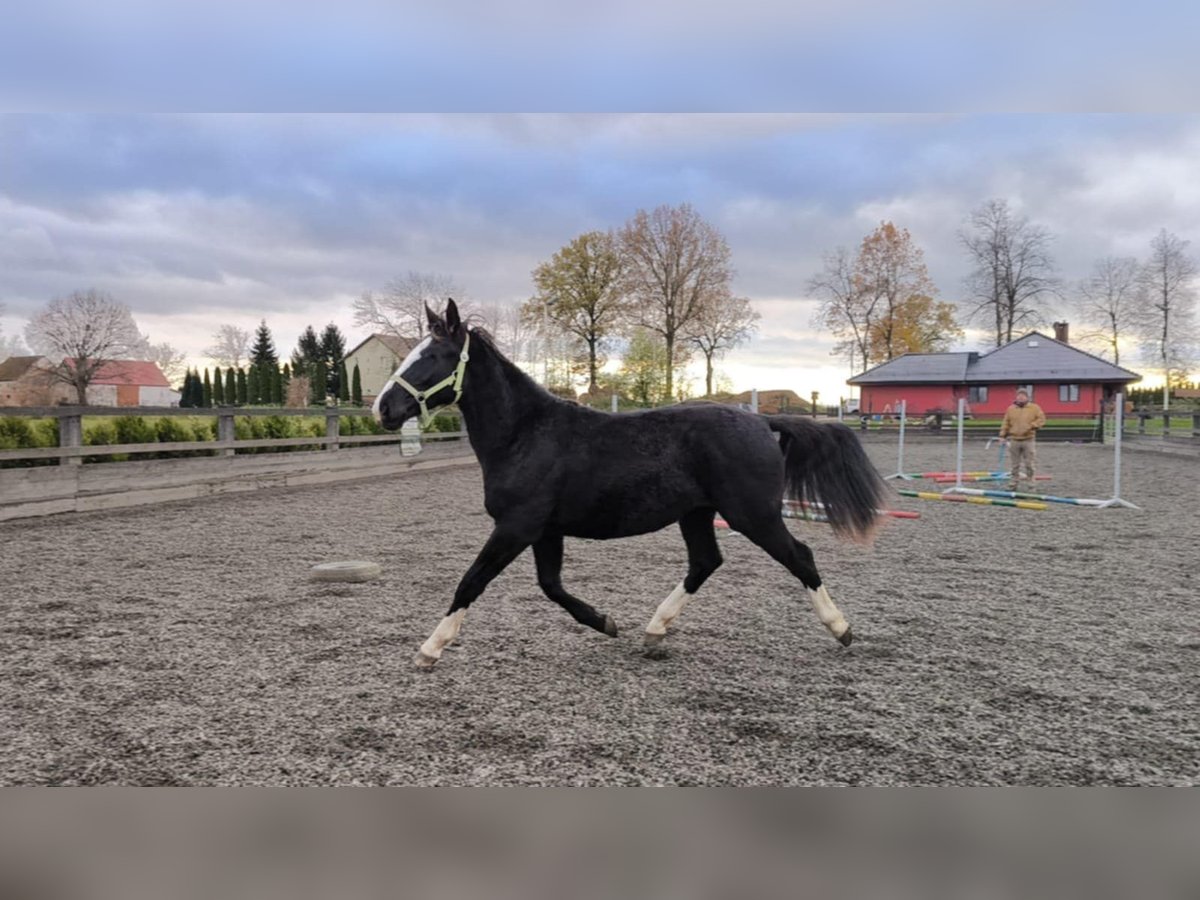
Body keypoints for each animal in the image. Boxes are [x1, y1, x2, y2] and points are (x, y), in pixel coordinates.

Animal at [376, 303, 892, 672]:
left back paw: (841, 629)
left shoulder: (516, 526)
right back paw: (654, 631)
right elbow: (551, 586)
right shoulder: (543, 530)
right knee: (706, 562)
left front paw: (429, 649)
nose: (384, 408)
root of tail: (762, 421)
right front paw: (606, 623)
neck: (525, 434)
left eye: (434, 356)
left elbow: (472, 581)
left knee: (799, 556)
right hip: (697, 514)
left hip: (753, 514)